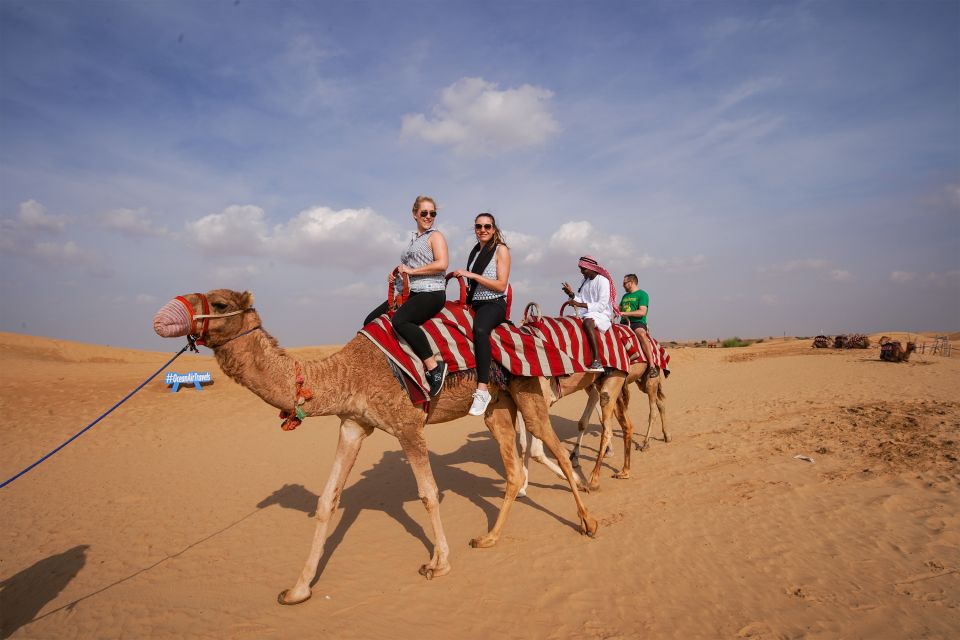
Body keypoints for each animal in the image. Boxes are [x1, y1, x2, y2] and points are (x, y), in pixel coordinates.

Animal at [153, 290, 596, 604]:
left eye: (220, 303)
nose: (163, 316)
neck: (347, 372)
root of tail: (521, 329)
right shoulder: (354, 424)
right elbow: (327, 500)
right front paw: (298, 589)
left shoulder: (407, 424)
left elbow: (428, 493)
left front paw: (438, 564)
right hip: (496, 404)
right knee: (514, 468)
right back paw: (488, 539)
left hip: (528, 387)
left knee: (553, 447)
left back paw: (588, 520)